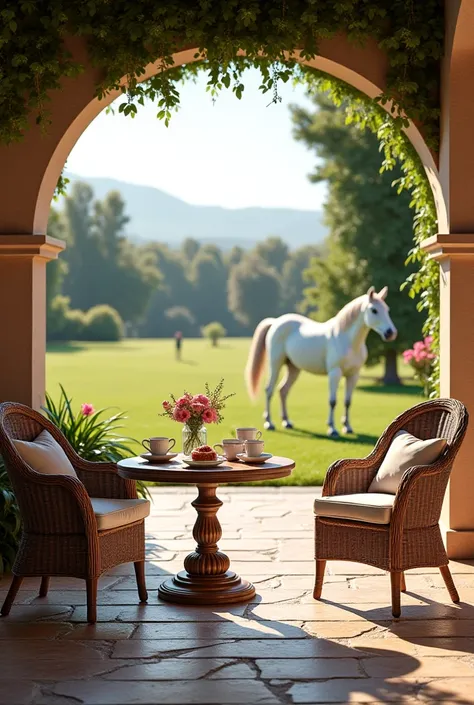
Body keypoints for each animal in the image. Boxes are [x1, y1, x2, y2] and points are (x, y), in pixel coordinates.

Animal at [244, 284, 396, 434]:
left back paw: (287, 422)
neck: (347, 340)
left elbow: (347, 402)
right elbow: (332, 401)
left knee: (283, 390)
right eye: (374, 310)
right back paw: (269, 423)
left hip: (293, 368)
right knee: (269, 390)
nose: (390, 333)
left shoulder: (353, 375)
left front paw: (347, 427)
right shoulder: (335, 373)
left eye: (387, 310)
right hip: (276, 364)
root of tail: (276, 322)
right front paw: (332, 428)